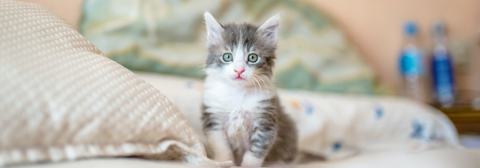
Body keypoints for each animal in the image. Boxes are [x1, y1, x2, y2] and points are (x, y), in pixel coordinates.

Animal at [201, 12, 298, 167]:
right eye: (227, 56)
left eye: (252, 57)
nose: (239, 70)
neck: (238, 93)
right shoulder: (214, 120)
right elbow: (222, 148)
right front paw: (225, 162)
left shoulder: (265, 122)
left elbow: (254, 153)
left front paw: (247, 165)